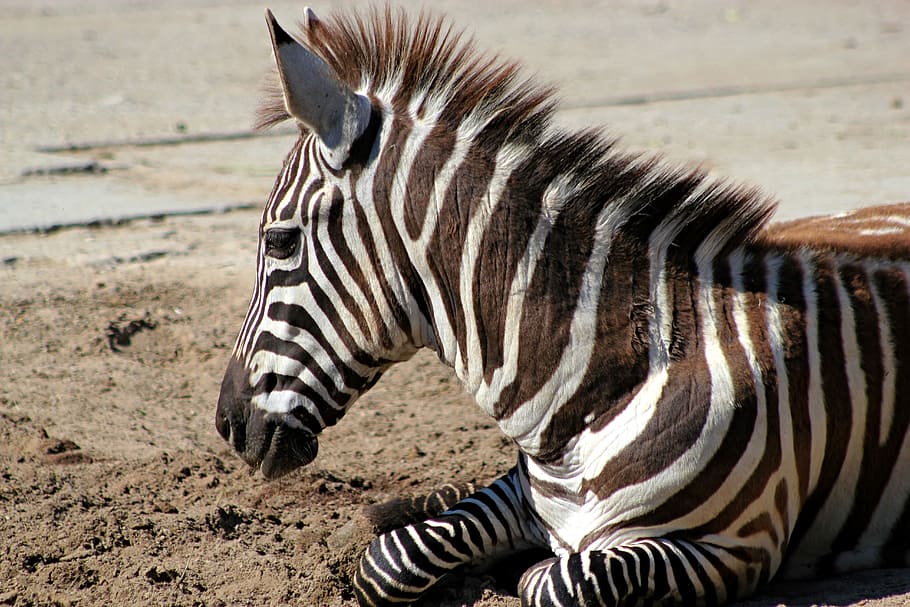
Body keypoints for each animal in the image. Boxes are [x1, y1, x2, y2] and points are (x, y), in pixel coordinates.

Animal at [214, 6, 910, 606]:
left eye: (279, 241)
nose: (227, 424)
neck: (597, 387)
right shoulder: (522, 494)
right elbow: (390, 560)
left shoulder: (733, 547)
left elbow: (554, 580)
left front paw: (515, 567)